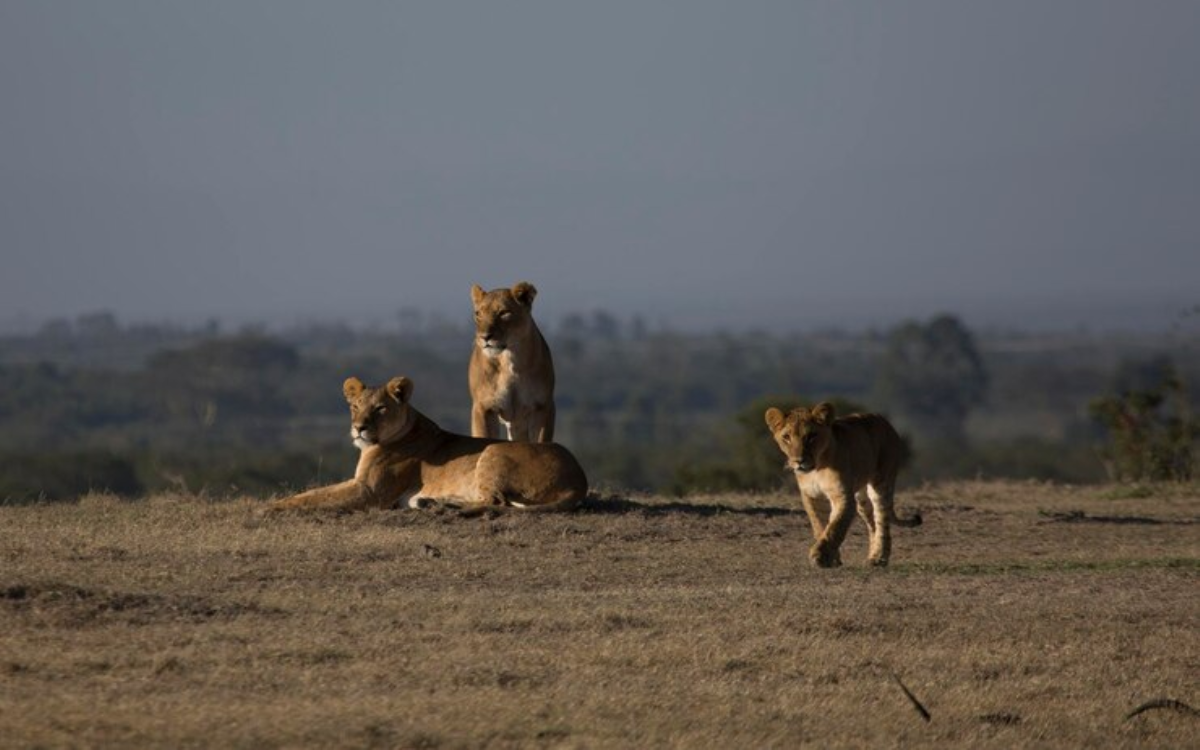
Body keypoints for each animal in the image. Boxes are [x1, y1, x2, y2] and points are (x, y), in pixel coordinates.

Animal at [470, 282, 559, 444]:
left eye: (504, 313)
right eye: (478, 314)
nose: (484, 337)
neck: (510, 359)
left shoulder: (543, 406)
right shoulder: (483, 407)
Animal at [763, 400, 921, 564]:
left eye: (811, 436)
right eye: (786, 437)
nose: (798, 461)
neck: (816, 469)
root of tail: (885, 421)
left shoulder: (842, 495)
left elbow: (835, 526)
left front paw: (820, 555)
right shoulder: (811, 496)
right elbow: (820, 526)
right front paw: (832, 558)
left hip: (881, 484)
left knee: (882, 522)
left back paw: (879, 559)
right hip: (861, 499)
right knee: (872, 525)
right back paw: (872, 556)